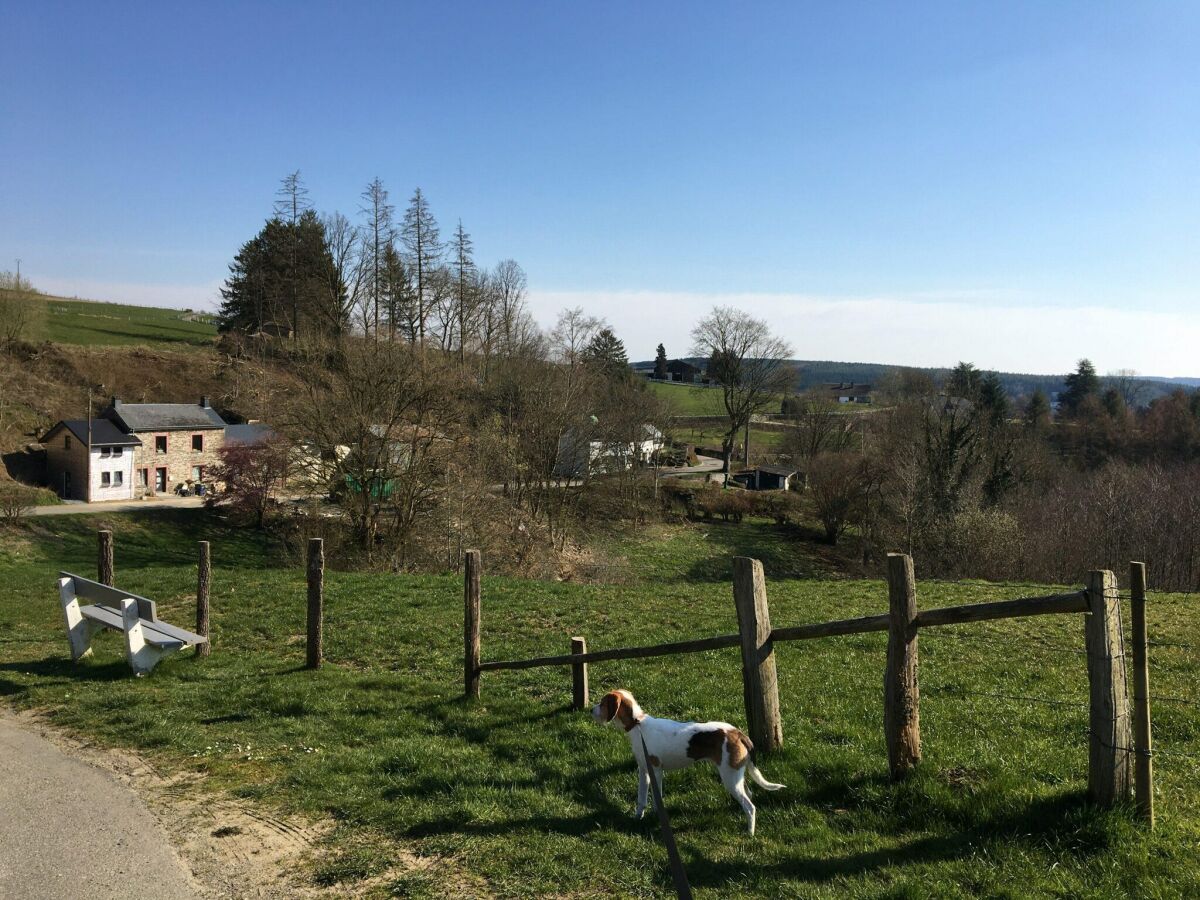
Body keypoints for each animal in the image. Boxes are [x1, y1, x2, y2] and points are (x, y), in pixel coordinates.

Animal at [592, 691, 787, 840]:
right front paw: (639, 817)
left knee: (750, 806)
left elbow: (656, 797)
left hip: (730, 778)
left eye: (602, 702)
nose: (591, 710)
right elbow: (642, 798)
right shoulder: (644, 771)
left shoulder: (655, 770)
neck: (637, 724)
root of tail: (738, 733)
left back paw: (750, 833)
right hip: (736, 775)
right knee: (749, 795)